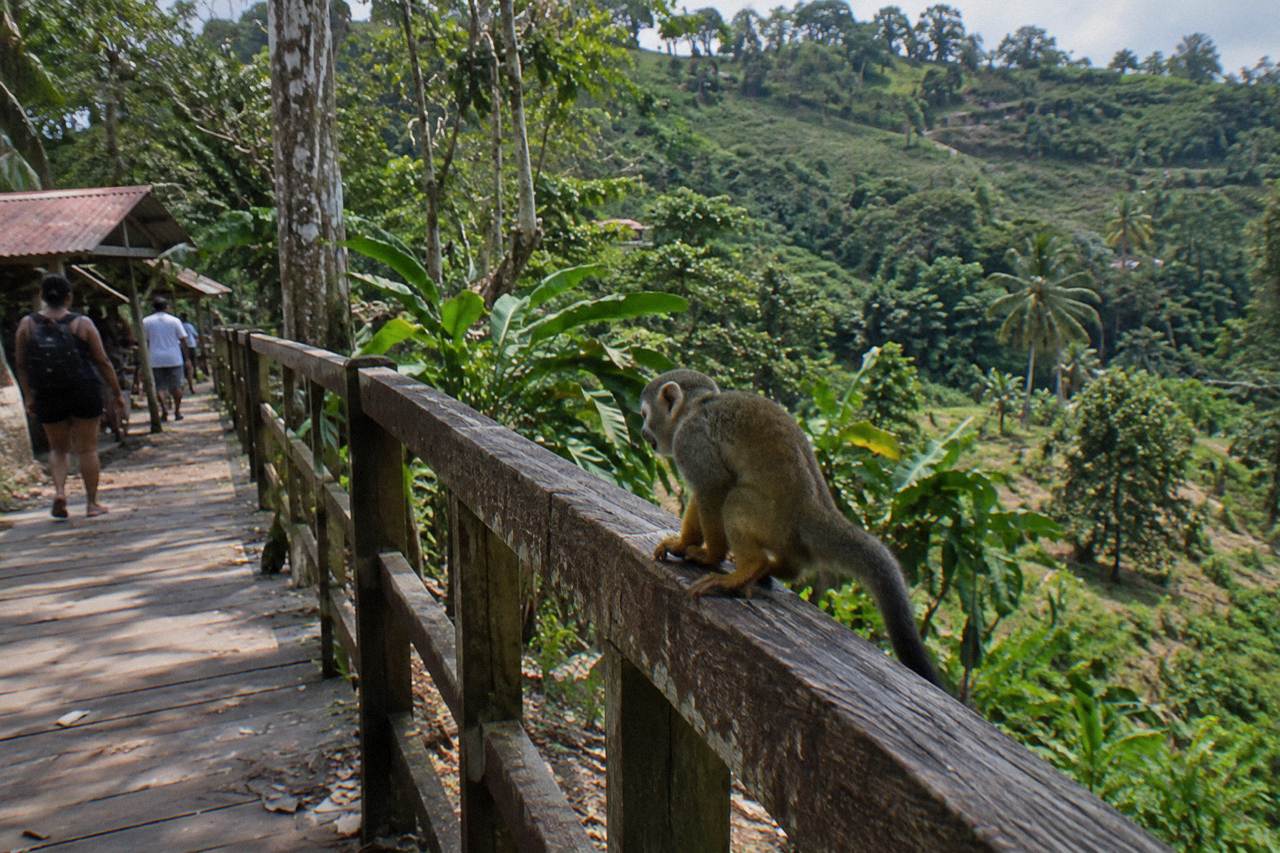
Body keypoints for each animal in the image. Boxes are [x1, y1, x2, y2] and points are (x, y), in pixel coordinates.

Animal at [640, 368, 942, 687]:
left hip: (774, 519)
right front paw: (682, 544)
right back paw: (773, 569)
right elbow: (704, 493)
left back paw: (746, 570)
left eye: (646, 414)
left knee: (735, 499)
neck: (697, 407)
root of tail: (815, 511)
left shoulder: (691, 440)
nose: (644, 432)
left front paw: (709, 555)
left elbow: (713, 487)